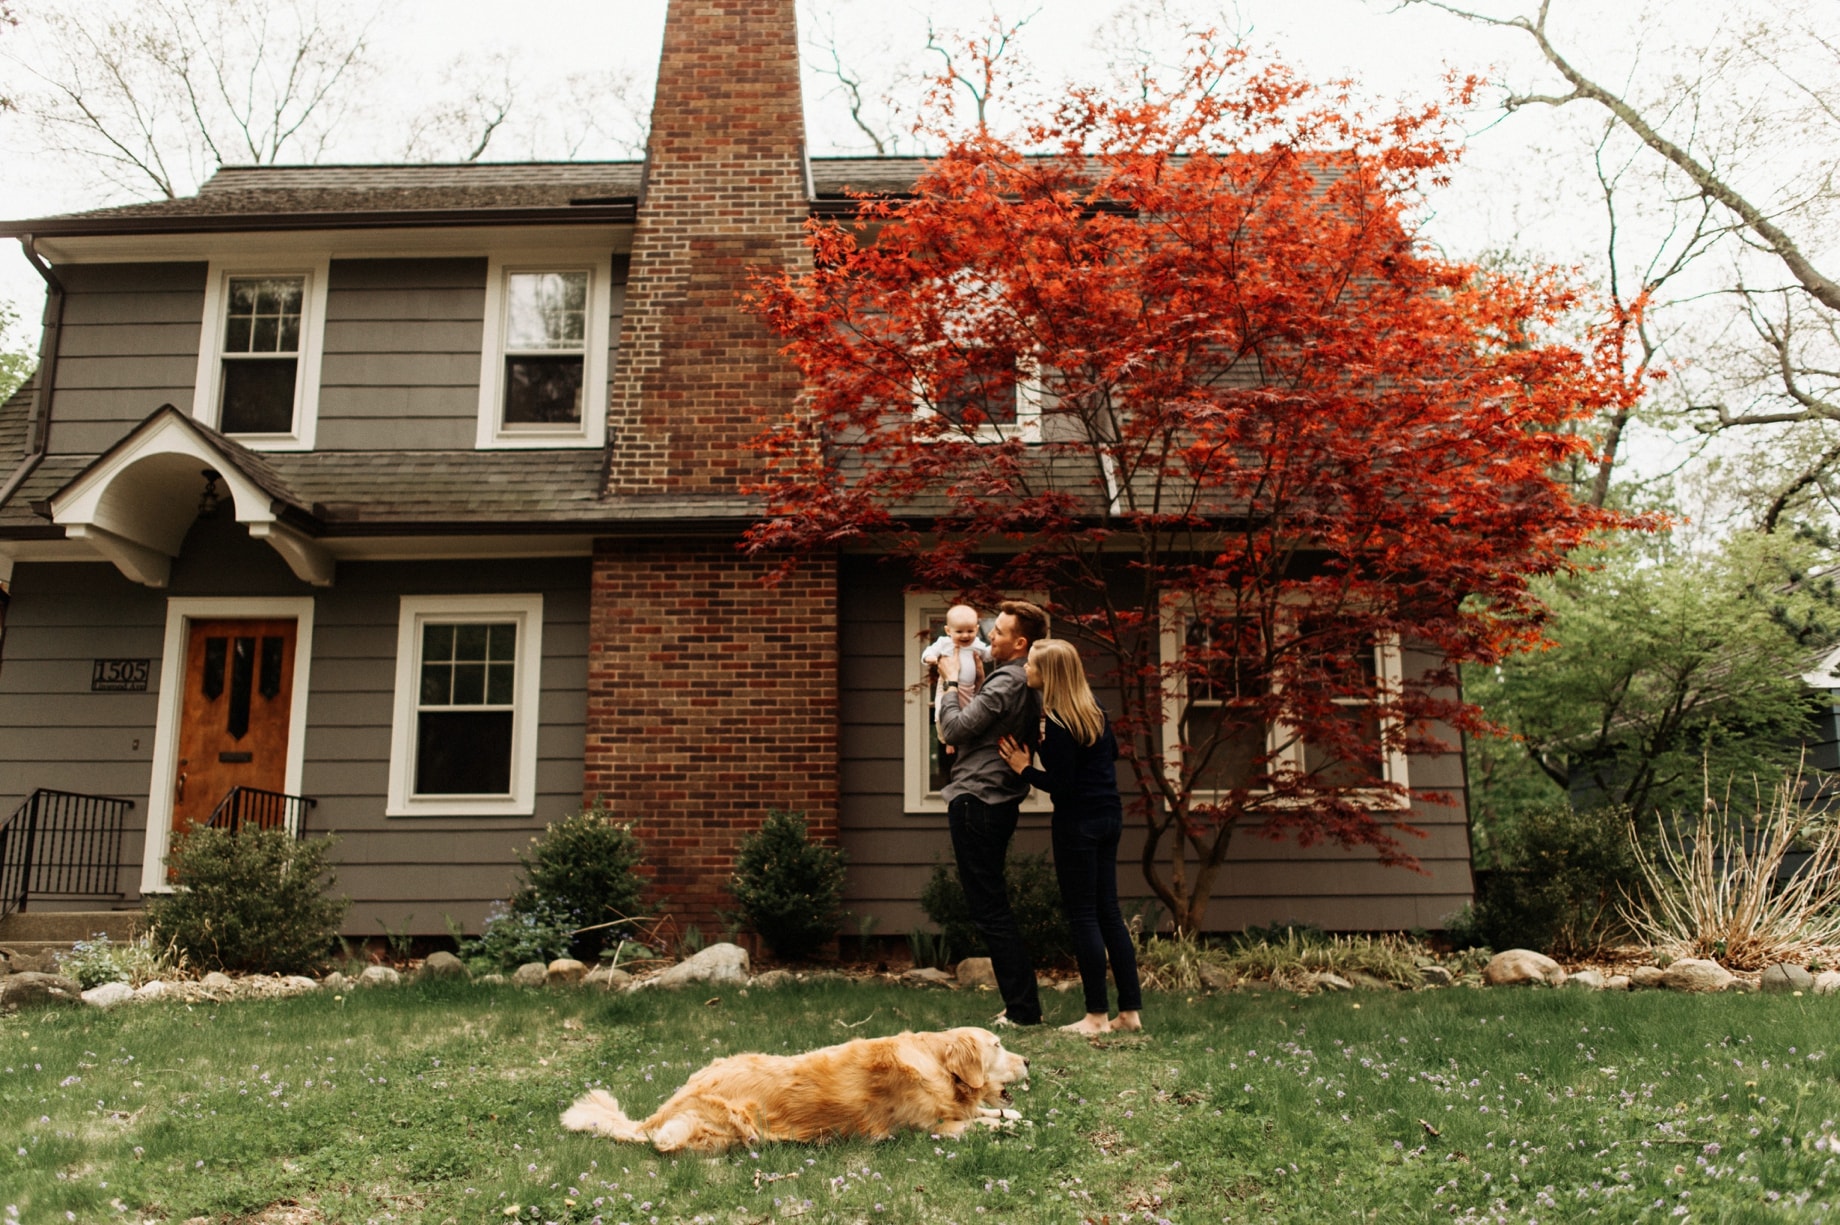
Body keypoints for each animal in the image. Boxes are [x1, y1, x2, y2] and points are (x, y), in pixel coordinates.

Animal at [559, 1022, 1030, 1147]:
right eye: (997, 1044)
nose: (1028, 1059)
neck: (936, 1066)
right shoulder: (930, 1130)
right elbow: (977, 1123)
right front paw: (1005, 1124)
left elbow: (995, 1110)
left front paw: (1011, 1114)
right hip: (727, 1122)